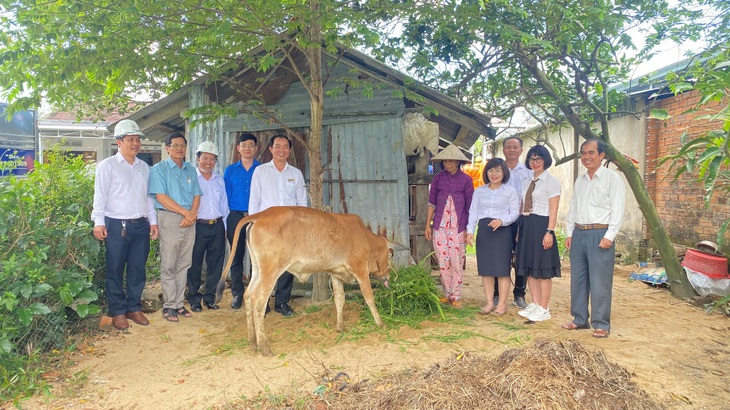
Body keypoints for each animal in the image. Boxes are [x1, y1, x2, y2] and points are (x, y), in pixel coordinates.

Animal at [215, 207, 404, 354]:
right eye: (389, 257)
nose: (388, 276)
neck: (364, 236)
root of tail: (260, 214)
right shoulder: (361, 271)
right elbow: (369, 298)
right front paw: (381, 323)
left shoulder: (335, 274)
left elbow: (340, 299)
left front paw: (340, 326)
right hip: (270, 272)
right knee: (258, 301)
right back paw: (264, 346)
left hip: (257, 270)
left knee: (248, 296)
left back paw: (252, 341)